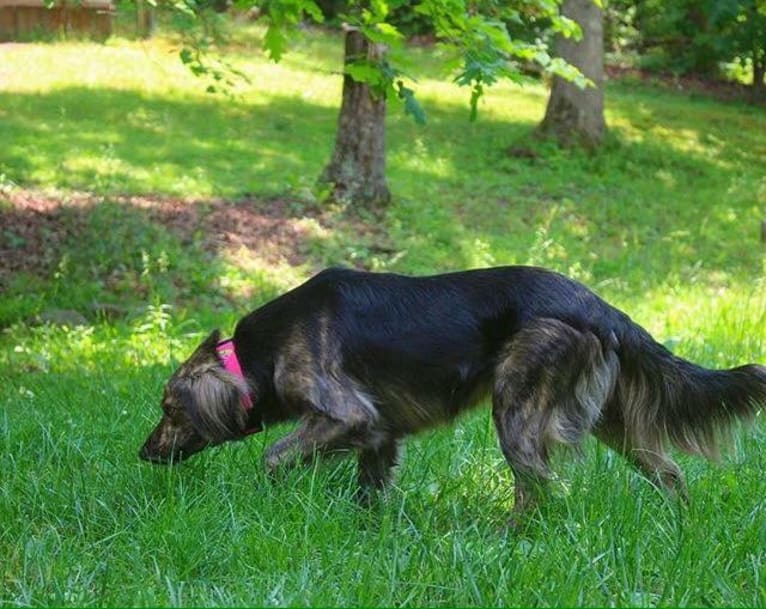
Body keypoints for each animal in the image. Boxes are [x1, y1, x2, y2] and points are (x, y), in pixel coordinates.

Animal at [140, 266, 766, 516]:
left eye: (169, 409)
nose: (142, 453)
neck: (254, 357)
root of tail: (598, 306)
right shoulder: (379, 433)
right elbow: (370, 489)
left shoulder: (346, 414)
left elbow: (273, 456)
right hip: (609, 419)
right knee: (670, 473)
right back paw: (679, 528)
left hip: (517, 408)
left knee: (539, 490)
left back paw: (510, 539)